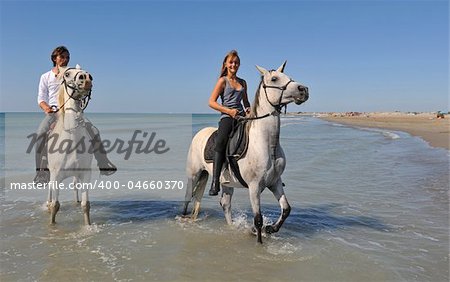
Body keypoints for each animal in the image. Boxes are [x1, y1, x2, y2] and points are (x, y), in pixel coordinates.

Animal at [46, 64, 94, 225]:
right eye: (67, 74)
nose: (86, 78)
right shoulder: (56, 176)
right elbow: (55, 206)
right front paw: (51, 226)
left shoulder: (85, 175)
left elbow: (86, 206)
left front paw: (88, 226)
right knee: (49, 191)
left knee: (74, 186)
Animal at [183, 61, 310, 242]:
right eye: (274, 78)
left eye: (288, 76)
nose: (303, 90)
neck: (267, 144)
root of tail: (199, 133)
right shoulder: (254, 186)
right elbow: (258, 219)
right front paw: (259, 239)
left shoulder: (275, 182)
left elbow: (286, 209)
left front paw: (270, 229)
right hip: (194, 175)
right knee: (188, 199)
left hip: (226, 183)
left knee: (225, 204)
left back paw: (231, 228)